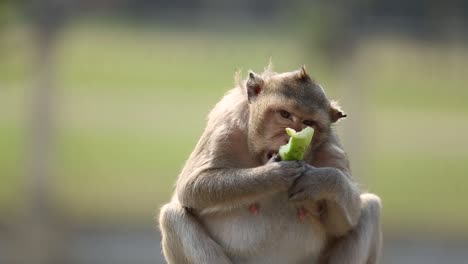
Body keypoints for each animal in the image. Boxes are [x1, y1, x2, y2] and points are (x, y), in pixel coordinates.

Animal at [158, 64, 380, 264]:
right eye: (285, 114)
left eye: (308, 123)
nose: (291, 135)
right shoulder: (227, 125)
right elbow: (193, 186)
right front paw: (275, 175)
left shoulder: (332, 149)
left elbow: (346, 219)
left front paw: (318, 180)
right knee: (172, 216)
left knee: (371, 207)